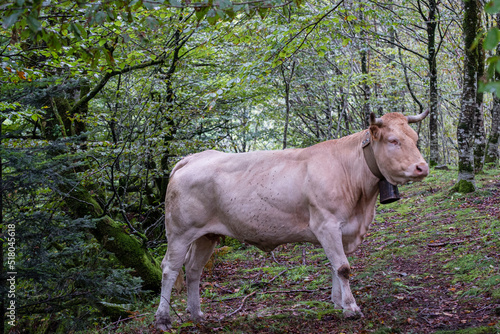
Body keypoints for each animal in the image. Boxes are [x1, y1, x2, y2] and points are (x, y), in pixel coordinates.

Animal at [154, 110, 428, 328]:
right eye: (393, 140)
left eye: (415, 139)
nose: (422, 167)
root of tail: (192, 157)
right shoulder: (326, 224)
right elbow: (343, 267)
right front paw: (351, 307)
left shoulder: (342, 229)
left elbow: (335, 266)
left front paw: (338, 303)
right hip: (179, 232)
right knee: (170, 268)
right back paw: (163, 319)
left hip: (207, 235)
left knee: (193, 270)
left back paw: (197, 315)